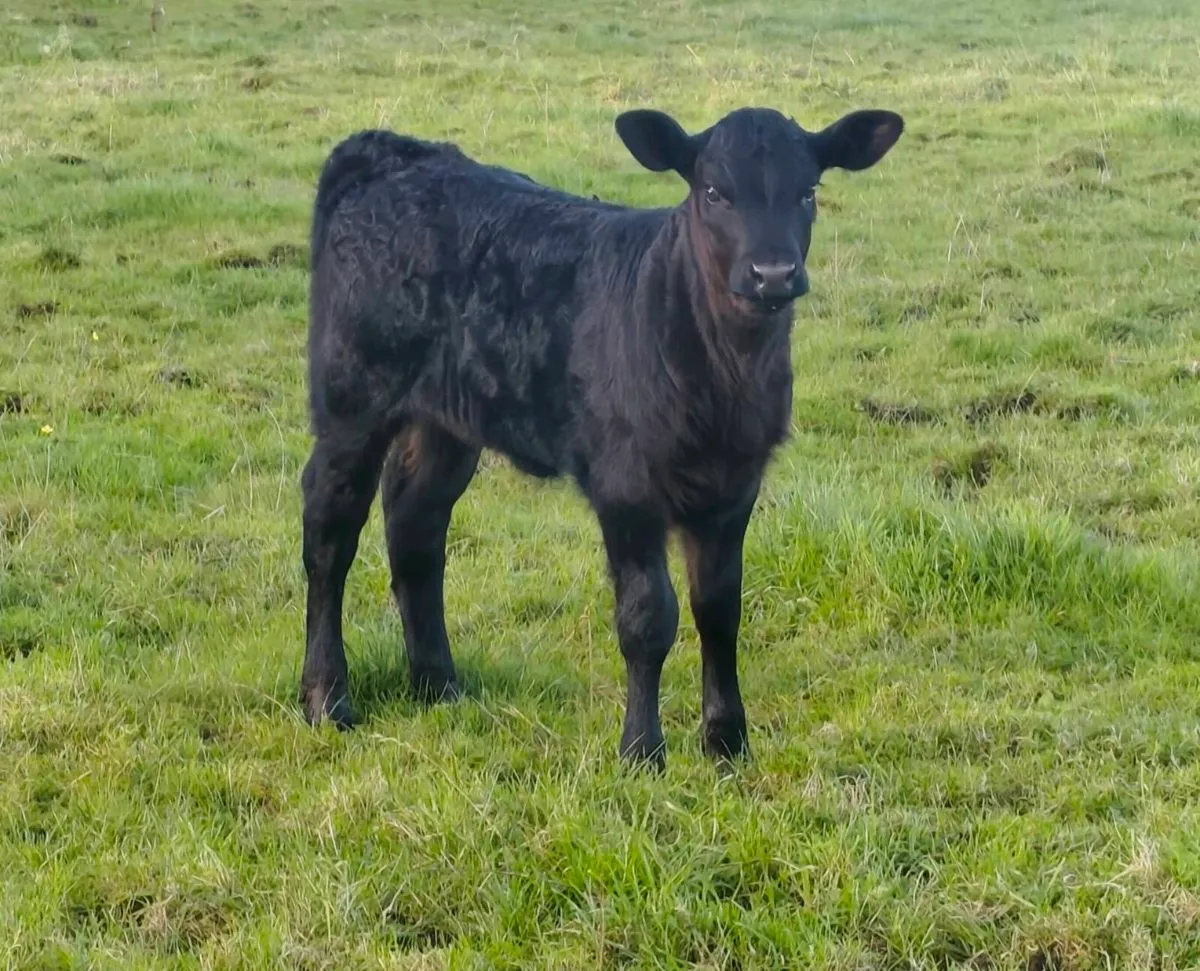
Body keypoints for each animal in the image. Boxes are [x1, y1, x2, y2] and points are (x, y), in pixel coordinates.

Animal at [299, 104, 904, 768]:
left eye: (808, 191)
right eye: (713, 192)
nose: (773, 274)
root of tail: (387, 150)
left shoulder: (735, 486)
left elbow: (720, 611)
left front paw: (727, 741)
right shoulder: (626, 485)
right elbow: (647, 617)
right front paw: (641, 750)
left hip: (445, 422)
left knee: (415, 529)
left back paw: (438, 686)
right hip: (351, 403)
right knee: (329, 536)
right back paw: (327, 699)